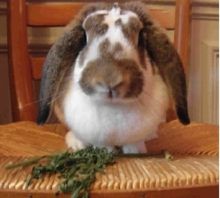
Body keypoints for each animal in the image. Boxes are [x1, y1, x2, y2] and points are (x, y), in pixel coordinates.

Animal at [37, 1, 190, 153]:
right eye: (84, 39)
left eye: (141, 38)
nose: (110, 80)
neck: (113, 106)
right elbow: (103, 146)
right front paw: (106, 152)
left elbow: (134, 145)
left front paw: (136, 152)